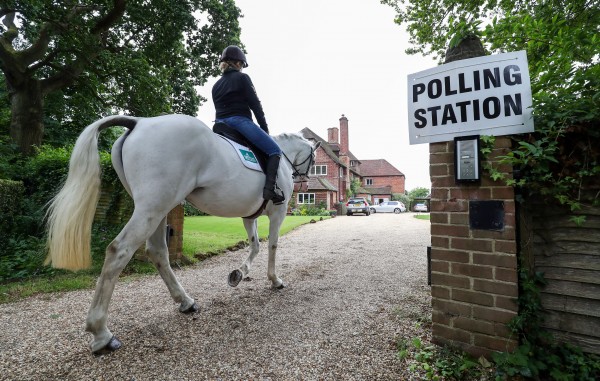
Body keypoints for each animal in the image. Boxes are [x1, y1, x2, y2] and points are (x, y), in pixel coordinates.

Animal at [45, 113, 318, 354]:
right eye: (313, 160)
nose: (304, 183)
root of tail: (140, 122)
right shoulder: (278, 212)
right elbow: (272, 245)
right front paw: (274, 280)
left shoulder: (249, 216)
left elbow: (255, 245)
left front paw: (239, 274)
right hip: (153, 207)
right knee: (118, 251)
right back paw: (101, 333)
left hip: (159, 208)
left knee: (157, 251)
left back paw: (185, 301)